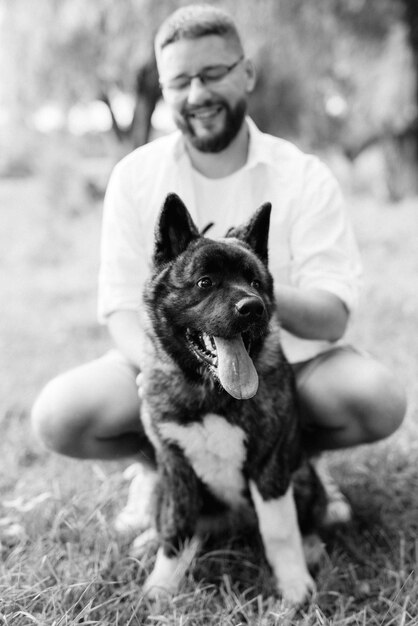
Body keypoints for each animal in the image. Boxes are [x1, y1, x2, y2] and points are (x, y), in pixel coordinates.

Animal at [138, 191, 326, 604]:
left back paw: (312, 546)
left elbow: (280, 530)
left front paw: (293, 582)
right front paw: (162, 583)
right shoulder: (176, 470)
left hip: (303, 476)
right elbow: (175, 528)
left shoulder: (269, 467)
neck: (209, 391)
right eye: (204, 282)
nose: (252, 307)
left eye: (255, 281)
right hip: (162, 485)